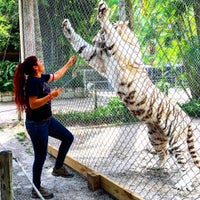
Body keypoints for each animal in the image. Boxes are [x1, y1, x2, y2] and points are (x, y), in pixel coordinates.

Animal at [61, 0, 200, 191]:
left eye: (100, 33)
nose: (94, 40)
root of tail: (187, 117)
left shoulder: (119, 52)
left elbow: (113, 37)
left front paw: (103, 14)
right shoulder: (97, 58)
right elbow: (81, 46)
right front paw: (66, 26)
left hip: (176, 138)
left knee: (185, 163)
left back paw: (183, 183)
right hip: (155, 136)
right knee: (164, 153)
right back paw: (155, 166)